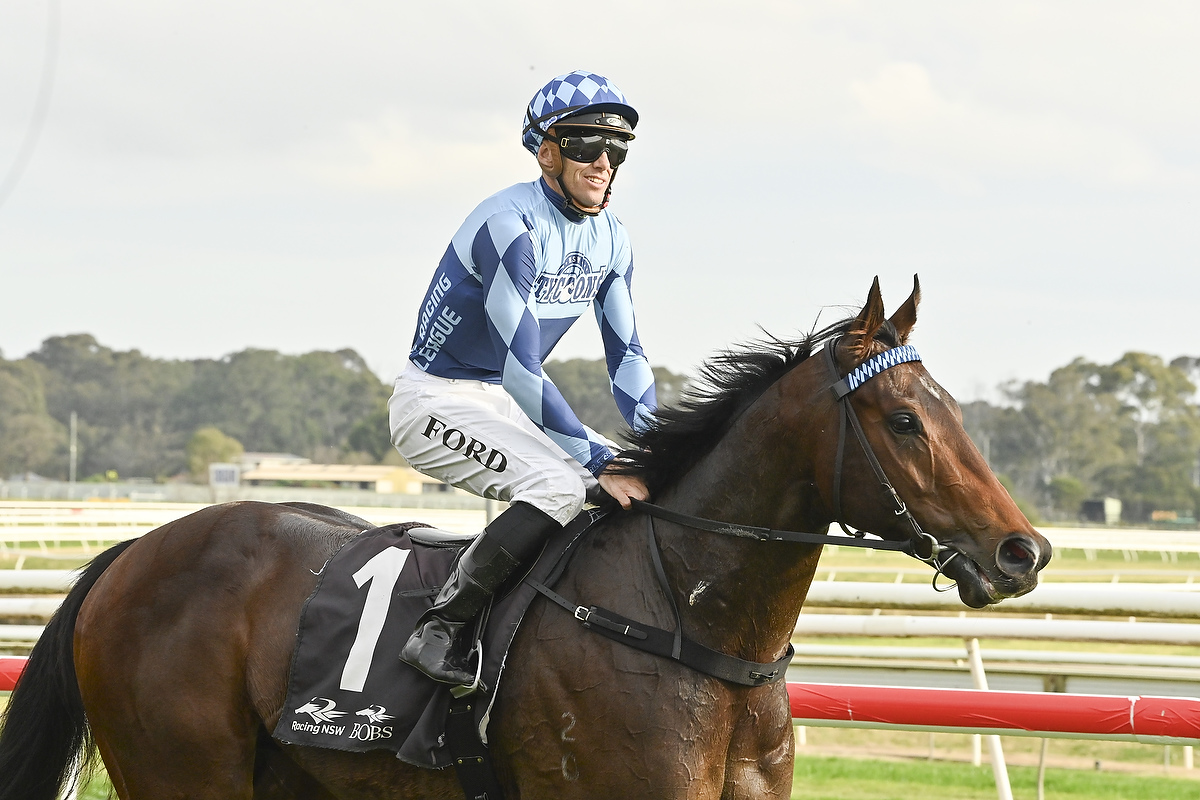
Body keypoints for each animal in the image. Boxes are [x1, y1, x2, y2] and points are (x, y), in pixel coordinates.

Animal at [0, 277, 1051, 800]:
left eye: (955, 410)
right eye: (904, 421)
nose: (1023, 552)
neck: (691, 628)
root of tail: (129, 556)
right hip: (180, 772)